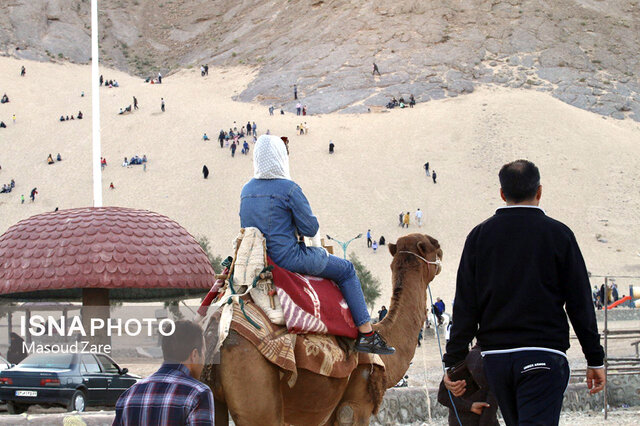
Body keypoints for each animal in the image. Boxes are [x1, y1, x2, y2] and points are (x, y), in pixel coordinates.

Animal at [202, 233, 442, 426]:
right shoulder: (356, 406)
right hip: (257, 395)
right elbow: (352, 412)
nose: (441, 249)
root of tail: (216, 332)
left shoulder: (328, 412)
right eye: (432, 244)